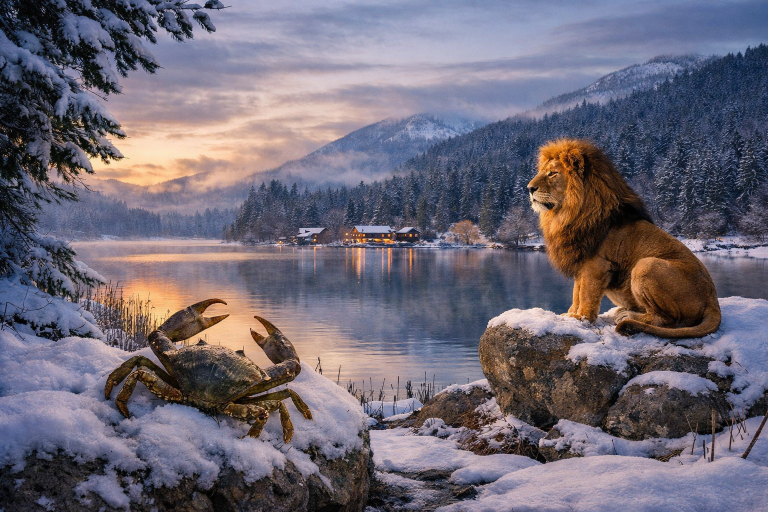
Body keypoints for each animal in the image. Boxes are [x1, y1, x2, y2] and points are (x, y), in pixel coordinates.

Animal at [527, 138, 721, 339]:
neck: (567, 214)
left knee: (668, 320)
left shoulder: (596, 265)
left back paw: (627, 315)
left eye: (552, 173)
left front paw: (582, 318)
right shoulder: (581, 260)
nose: (529, 189)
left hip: (646, 265)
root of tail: (713, 303)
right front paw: (571, 314)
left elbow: (586, 294)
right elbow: (576, 291)